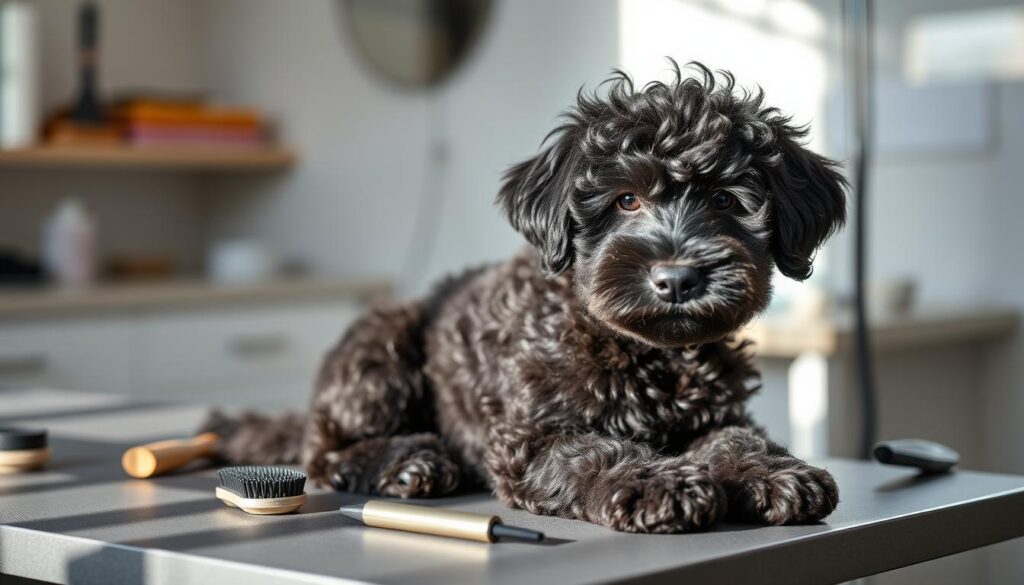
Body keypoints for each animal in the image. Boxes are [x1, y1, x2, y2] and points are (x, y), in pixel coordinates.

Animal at [203, 61, 843, 532]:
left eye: (727, 202)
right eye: (626, 200)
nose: (678, 279)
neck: (647, 355)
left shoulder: (722, 410)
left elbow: (736, 436)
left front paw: (773, 470)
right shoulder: (529, 438)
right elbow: (597, 452)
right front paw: (655, 482)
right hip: (383, 343)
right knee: (324, 451)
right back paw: (411, 460)